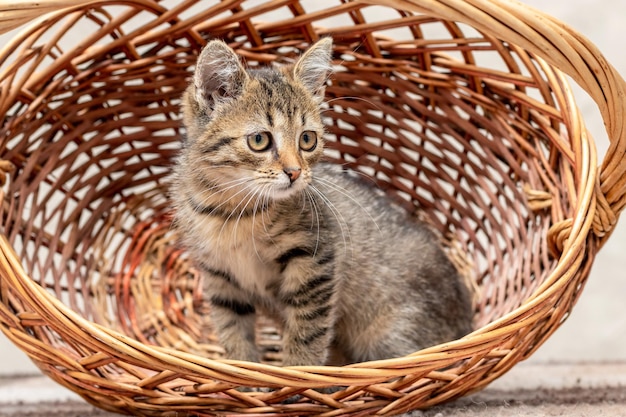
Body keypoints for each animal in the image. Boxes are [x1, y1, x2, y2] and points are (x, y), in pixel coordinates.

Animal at [169, 38, 468, 364]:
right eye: (259, 140)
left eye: (307, 139)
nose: (295, 172)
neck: (232, 210)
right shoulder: (219, 277)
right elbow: (233, 333)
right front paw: (243, 370)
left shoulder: (315, 261)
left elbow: (307, 333)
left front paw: (298, 371)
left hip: (391, 335)